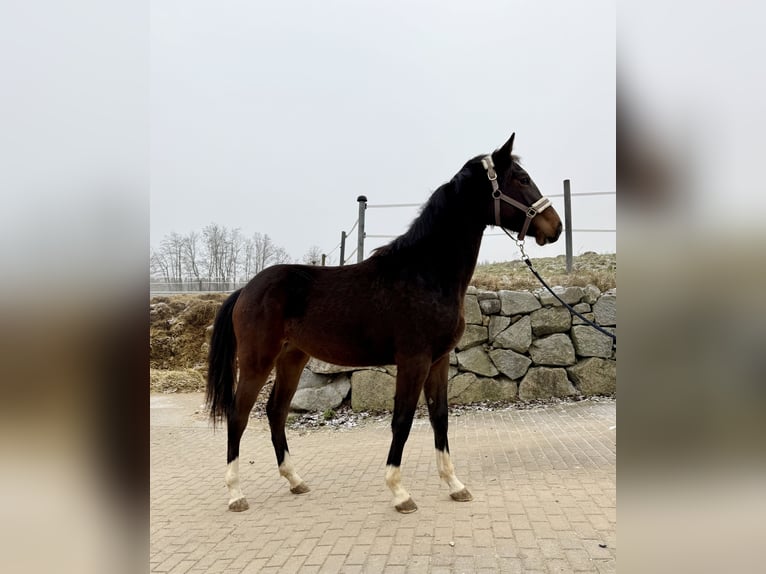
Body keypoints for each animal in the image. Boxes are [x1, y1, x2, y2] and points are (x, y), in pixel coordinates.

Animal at [206, 133, 562, 513]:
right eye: (521, 179)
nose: (556, 226)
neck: (425, 273)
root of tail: (246, 289)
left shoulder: (438, 361)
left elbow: (440, 417)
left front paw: (454, 484)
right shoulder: (414, 360)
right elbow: (402, 420)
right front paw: (400, 492)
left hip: (292, 358)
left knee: (276, 411)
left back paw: (295, 481)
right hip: (257, 360)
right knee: (238, 416)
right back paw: (236, 493)